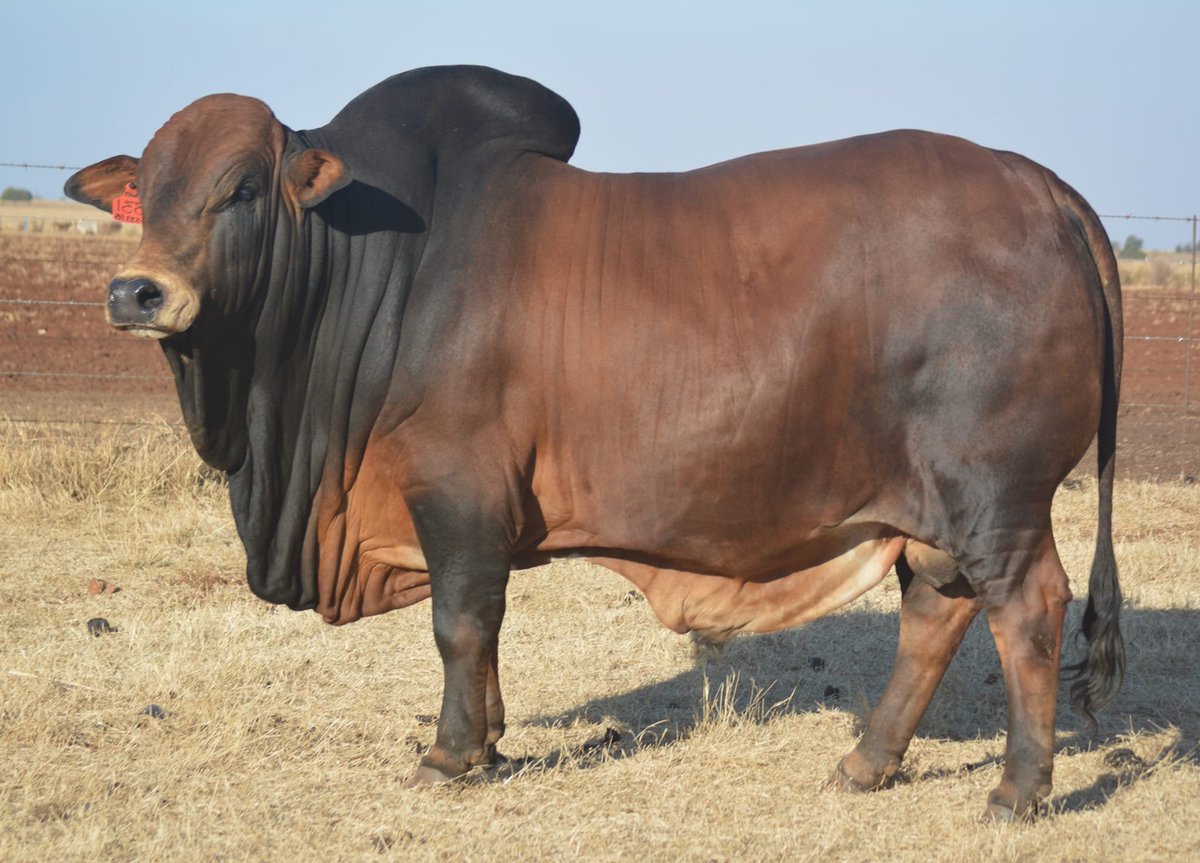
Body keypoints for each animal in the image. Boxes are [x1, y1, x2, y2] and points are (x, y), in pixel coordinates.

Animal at [65, 65, 1123, 820]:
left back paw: (1017, 791)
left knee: (1028, 608)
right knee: (937, 612)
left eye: (242, 188)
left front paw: (450, 755)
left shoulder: (458, 491)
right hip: (933, 509)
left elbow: (460, 623)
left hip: (995, 497)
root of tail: (1039, 184)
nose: (136, 292)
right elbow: (481, 635)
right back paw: (866, 763)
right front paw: (489, 739)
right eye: (143, 192)